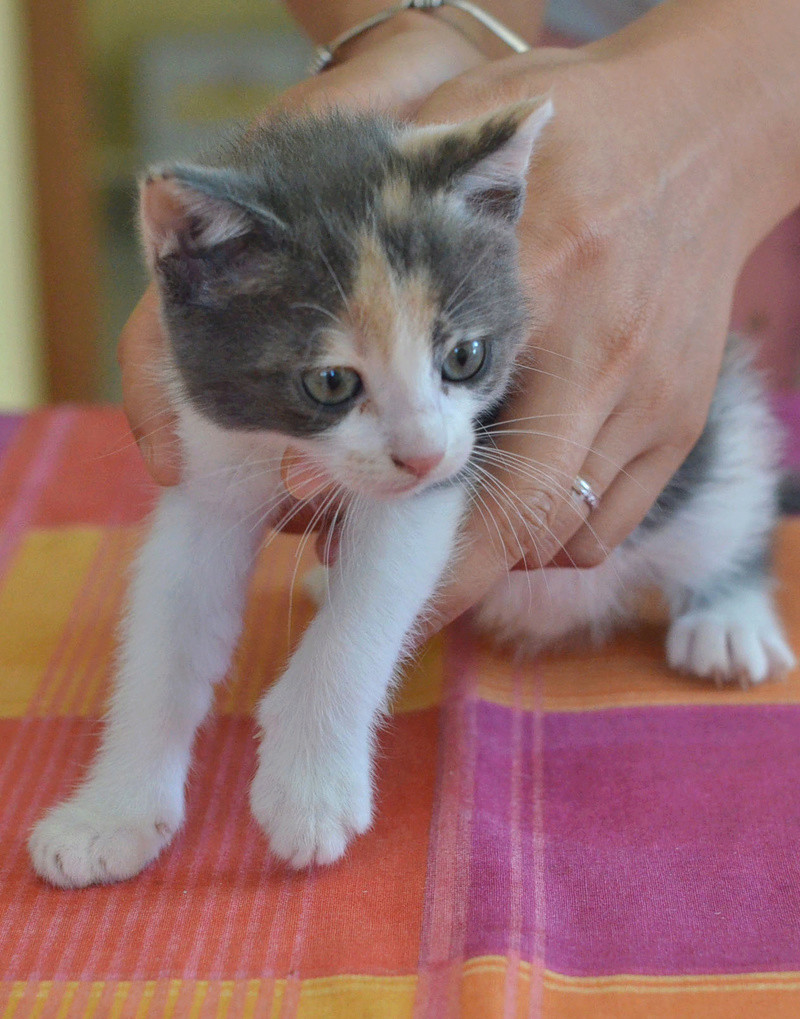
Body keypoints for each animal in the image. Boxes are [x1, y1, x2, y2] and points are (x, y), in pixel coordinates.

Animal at [29, 99, 790, 888]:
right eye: (331, 382)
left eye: (465, 356)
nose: (421, 452)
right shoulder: (205, 460)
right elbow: (166, 633)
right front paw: (108, 814)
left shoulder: (451, 471)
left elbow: (364, 611)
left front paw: (310, 786)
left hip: (699, 442)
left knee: (728, 504)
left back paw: (728, 619)